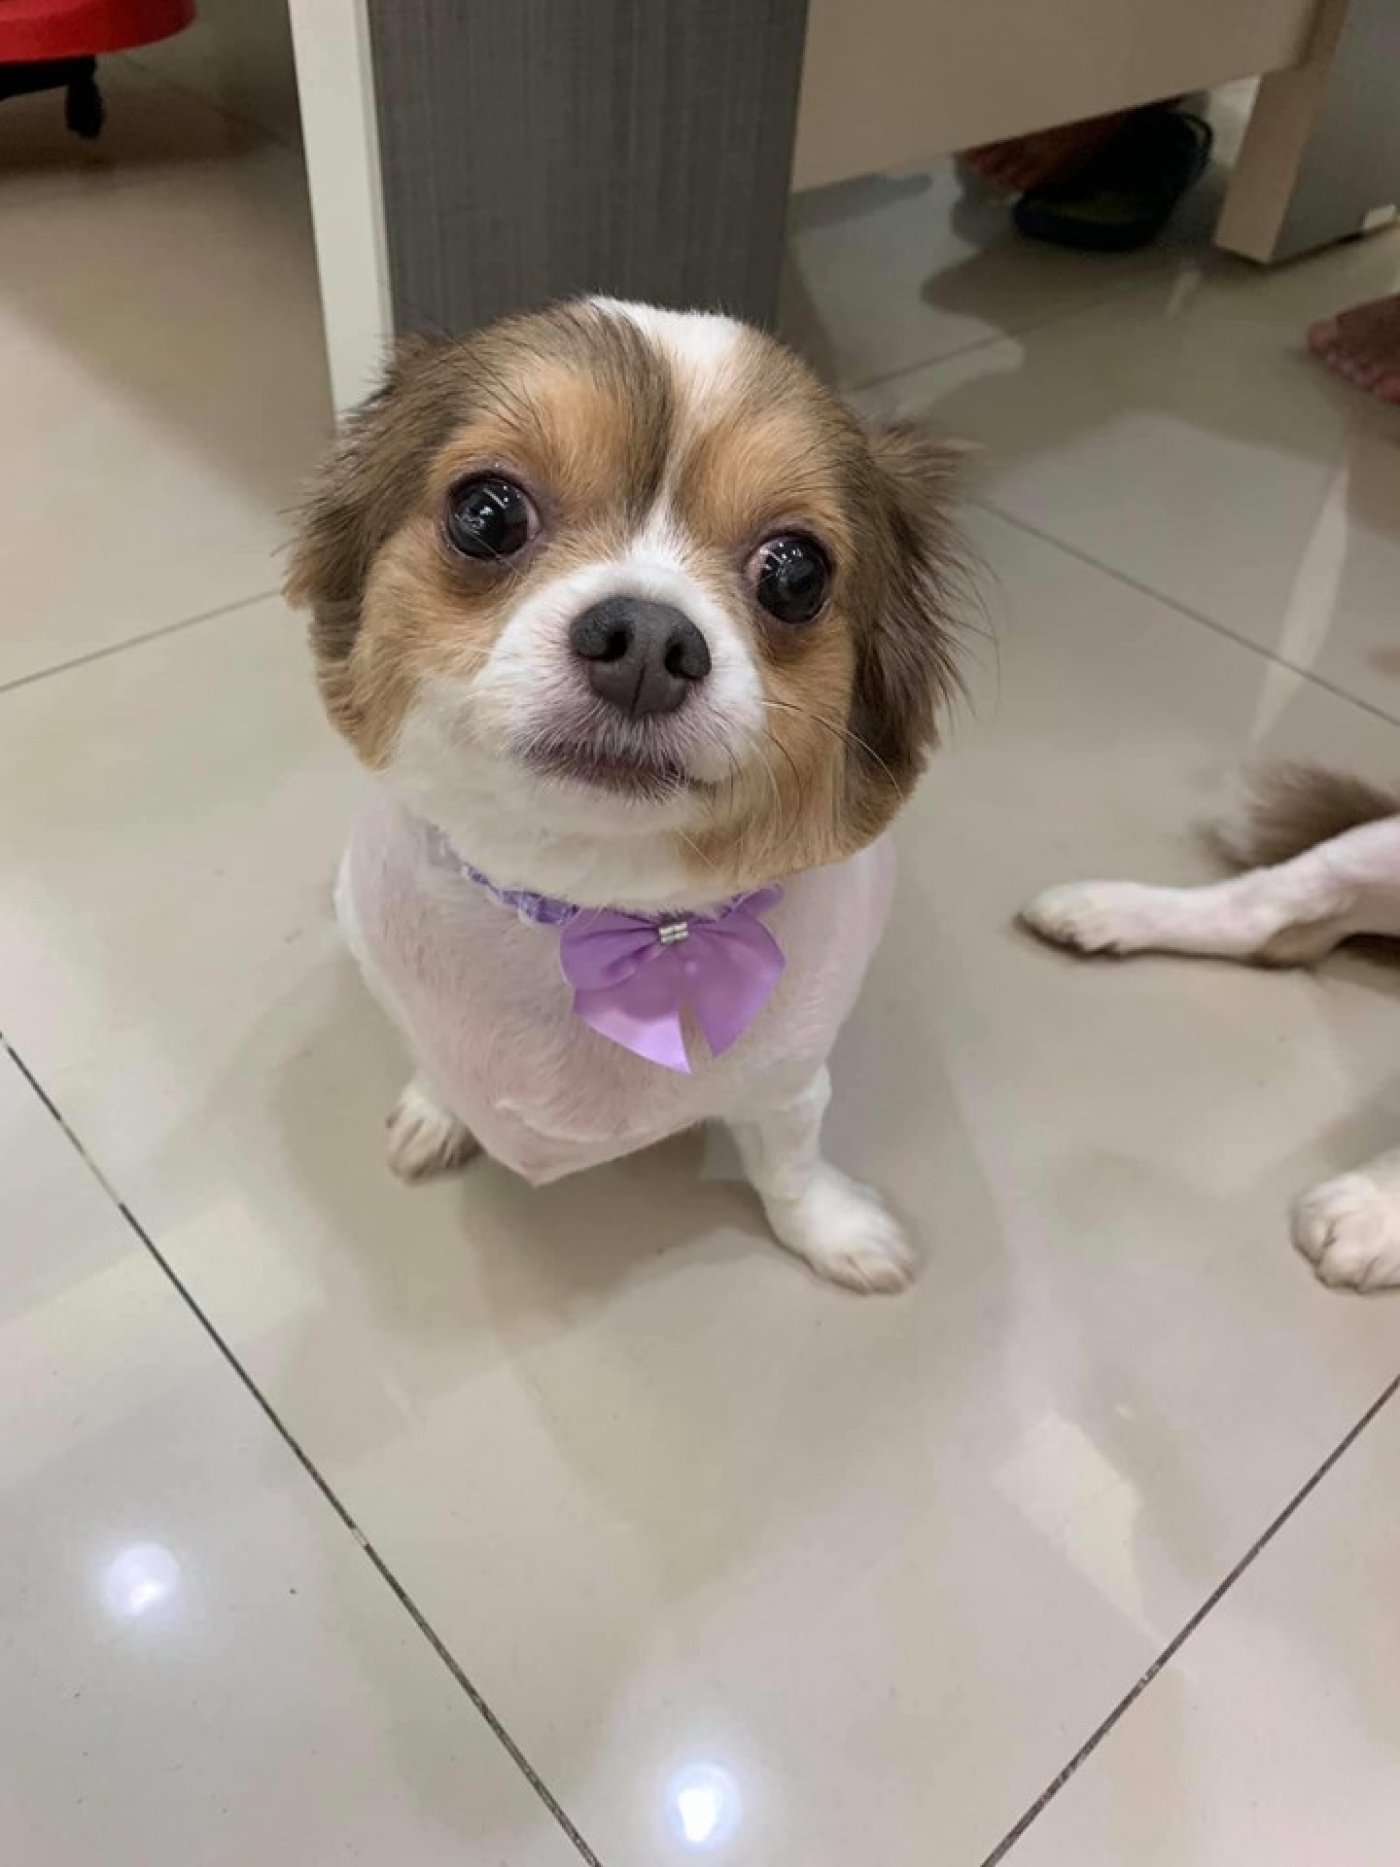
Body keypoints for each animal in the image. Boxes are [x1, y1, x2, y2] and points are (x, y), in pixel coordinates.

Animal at [287, 299, 963, 1293]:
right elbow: (433, 1061)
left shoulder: (790, 1081)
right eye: (486, 514)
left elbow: (790, 1166)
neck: (590, 908)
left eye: (797, 572)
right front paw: (436, 1111)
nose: (646, 638)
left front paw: (835, 1231)